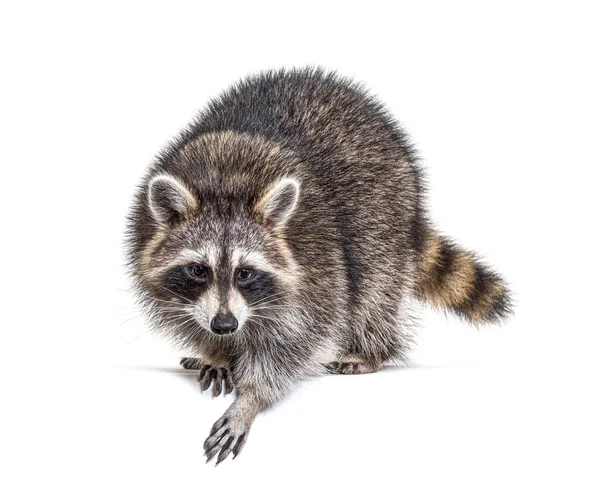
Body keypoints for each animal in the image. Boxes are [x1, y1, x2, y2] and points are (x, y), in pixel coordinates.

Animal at [125, 69, 510, 466]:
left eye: (245, 272)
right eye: (198, 270)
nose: (225, 325)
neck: (224, 184)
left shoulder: (317, 264)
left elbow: (297, 341)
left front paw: (251, 398)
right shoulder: (152, 252)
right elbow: (189, 318)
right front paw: (215, 351)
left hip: (385, 216)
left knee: (375, 290)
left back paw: (373, 351)